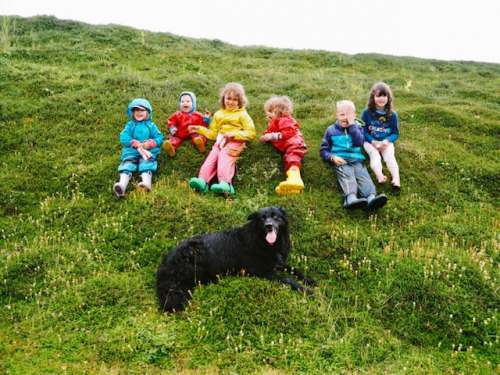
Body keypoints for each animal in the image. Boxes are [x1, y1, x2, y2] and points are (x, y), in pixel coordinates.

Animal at [156, 207, 314, 312]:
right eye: (262, 218)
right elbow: (288, 279)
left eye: (276, 217)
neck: (262, 241)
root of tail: (165, 265)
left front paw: (310, 280)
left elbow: (293, 269)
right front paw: (306, 290)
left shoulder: (276, 263)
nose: (269, 226)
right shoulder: (263, 272)